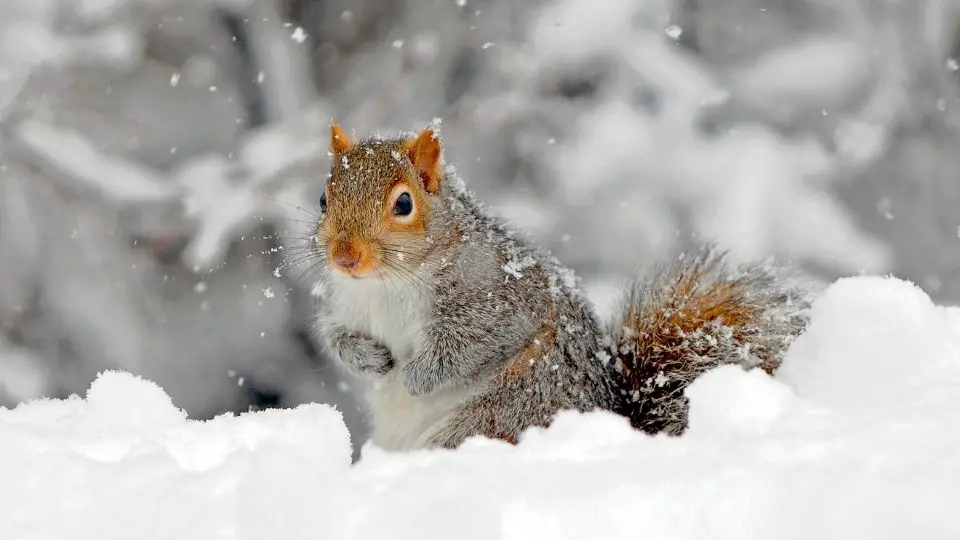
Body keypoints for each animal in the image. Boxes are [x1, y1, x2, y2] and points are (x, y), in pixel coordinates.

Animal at [310, 123, 808, 452]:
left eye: (404, 204)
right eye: (322, 199)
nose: (345, 257)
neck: (384, 283)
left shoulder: (497, 300)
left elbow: (467, 344)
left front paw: (415, 376)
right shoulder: (346, 305)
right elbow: (336, 336)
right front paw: (369, 360)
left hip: (499, 417)